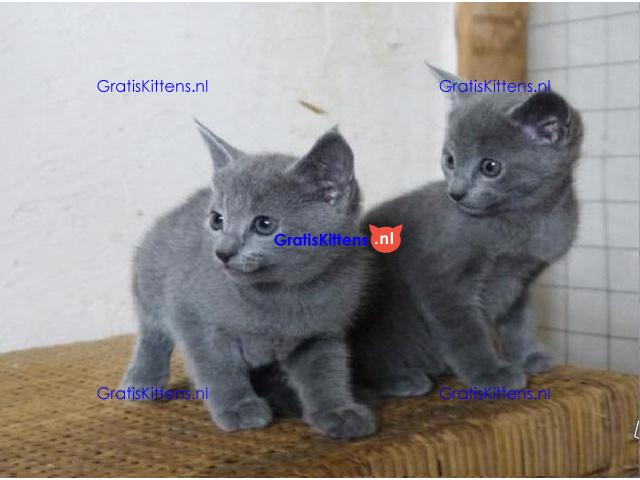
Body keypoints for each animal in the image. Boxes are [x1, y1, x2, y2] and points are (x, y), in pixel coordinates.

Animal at [122, 120, 376, 439]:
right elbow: (217, 367)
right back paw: (143, 381)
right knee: (152, 333)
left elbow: (325, 372)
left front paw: (337, 411)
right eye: (217, 219)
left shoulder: (320, 334)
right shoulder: (192, 316)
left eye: (264, 224)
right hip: (149, 283)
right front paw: (238, 407)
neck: (282, 295)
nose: (222, 252)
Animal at [351, 65, 583, 396]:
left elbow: (520, 322)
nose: (456, 192)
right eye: (449, 160)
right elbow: (465, 333)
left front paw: (528, 356)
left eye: (490, 167)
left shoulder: (521, 280)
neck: (523, 220)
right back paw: (402, 379)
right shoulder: (442, 279)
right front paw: (490, 374)